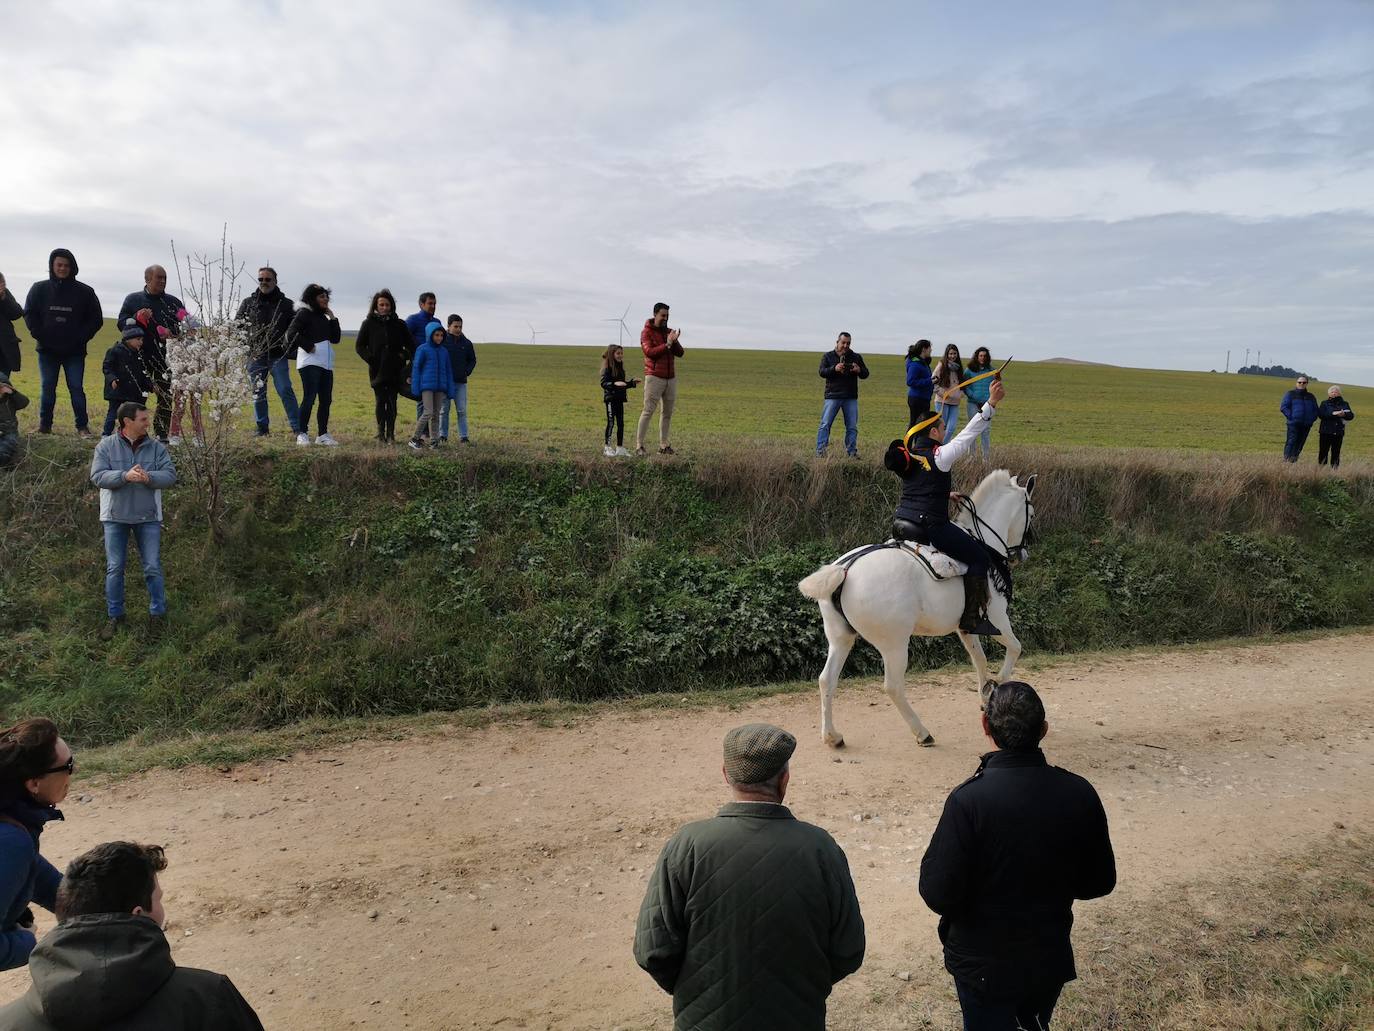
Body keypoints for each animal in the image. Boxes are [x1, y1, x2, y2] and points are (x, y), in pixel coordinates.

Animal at [796, 472, 1038, 747]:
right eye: (1032, 514)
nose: (1023, 553)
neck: (984, 544)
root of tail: (845, 569)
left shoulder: (966, 628)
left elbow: (979, 659)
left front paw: (986, 696)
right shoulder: (998, 619)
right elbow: (1015, 648)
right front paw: (997, 684)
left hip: (841, 638)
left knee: (827, 680)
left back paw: (832, 736)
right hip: (894, 644)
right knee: (893, 686)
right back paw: (922, 732)